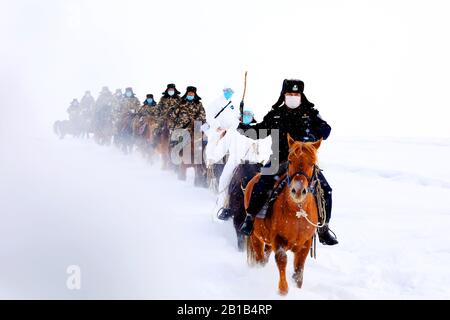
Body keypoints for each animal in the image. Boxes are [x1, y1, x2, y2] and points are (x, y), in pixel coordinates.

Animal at [244, 135, 322, 296]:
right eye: (290, 160)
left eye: (312, 163)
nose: (298, 191)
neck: (297, 211)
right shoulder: (278, 238)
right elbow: (281, 259)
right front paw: (283, 290)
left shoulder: (305, 244)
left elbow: (299, 270)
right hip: (256, 237)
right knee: (260, 257)